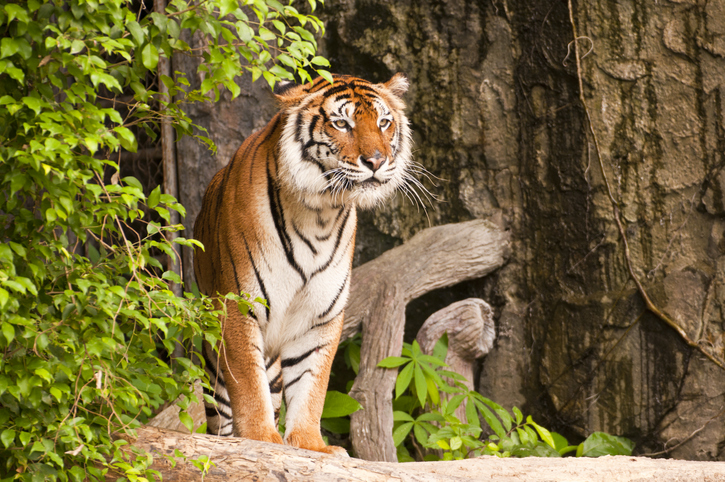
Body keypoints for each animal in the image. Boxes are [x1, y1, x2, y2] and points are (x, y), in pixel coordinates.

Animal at [192, 72, 412, 456]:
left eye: (384, 123)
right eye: (342, 124)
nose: (376, 161)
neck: (320, 213)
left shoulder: (320, 315)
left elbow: (312, 384)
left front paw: (311, 445)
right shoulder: (238, 307)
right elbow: (248, 383)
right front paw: (261, 438)